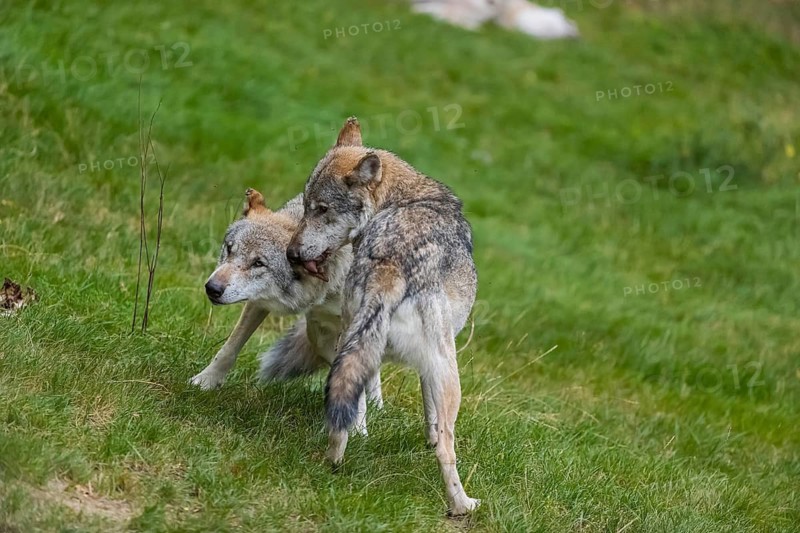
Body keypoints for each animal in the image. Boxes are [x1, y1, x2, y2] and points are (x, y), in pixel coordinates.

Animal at [189, 188, 383, 434]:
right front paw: (206, 381)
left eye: (258, 263)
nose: (212, 288)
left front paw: (357, 430)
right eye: (230, 249)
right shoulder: (259, 302)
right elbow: (229, 348)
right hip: (318, 334)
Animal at [286, 118, 479, 515]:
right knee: (447, 451)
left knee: (343, 415)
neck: (403, 197)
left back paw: (335, 462)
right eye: (308, 207)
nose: (291, 254)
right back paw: (462, 505)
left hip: (349, 344)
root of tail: (390, 268)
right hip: (450, 374)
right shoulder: (434, 366)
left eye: (321, 209)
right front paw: (429, 439)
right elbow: (433, 421)